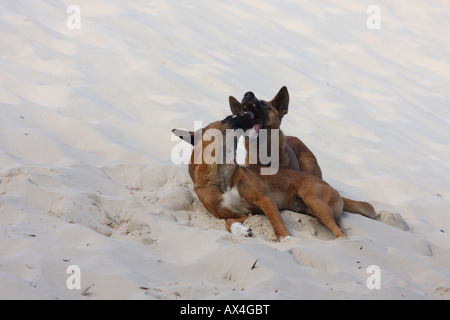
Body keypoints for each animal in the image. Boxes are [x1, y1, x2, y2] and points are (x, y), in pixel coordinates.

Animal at [171, 113, 344, 240]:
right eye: (228, 118)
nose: (249, 112)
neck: (221, 176)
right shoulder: (239, 214)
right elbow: (228, 221)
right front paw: (241, 230)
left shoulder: (265, 200)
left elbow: (277, 225)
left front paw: (287, 241)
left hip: (315, 202)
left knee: (341, 234)